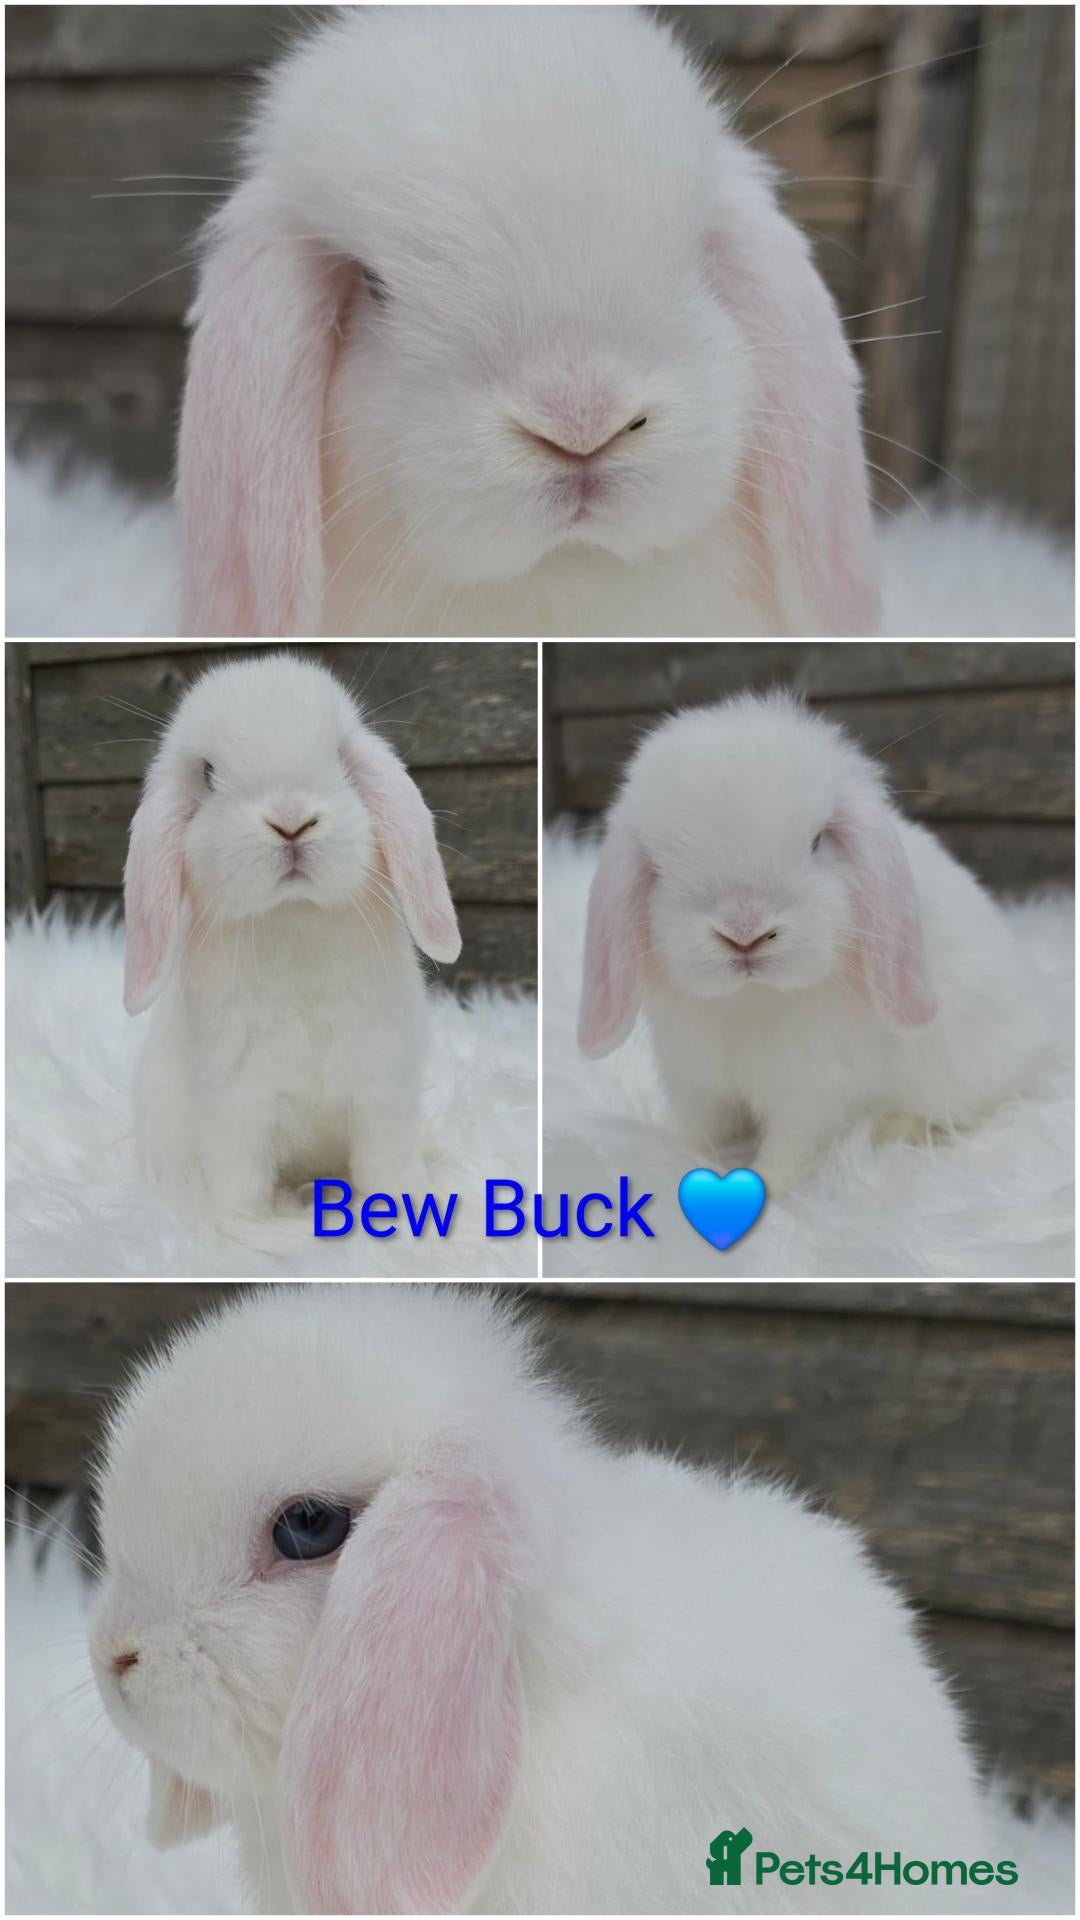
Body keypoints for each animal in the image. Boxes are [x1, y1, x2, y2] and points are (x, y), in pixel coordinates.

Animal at [124, 654, 460, 1242]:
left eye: (341, 757)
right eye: (207, 774)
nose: (291, 821)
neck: (296, 919)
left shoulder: (383, 1092)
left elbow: (387, 1166)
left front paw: (406, 1212)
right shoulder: (239, 1108)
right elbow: (240, 1189)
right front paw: (263, 1233)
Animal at [579, 691, 1049, 1195]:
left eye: (817, 842)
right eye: (658, 866)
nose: (744, 933)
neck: (752, 1000)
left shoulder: (814, 1095)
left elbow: (790, 1147)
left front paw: (770, 1186)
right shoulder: (696, 1083)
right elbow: (695, 1131)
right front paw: (665, 1158)